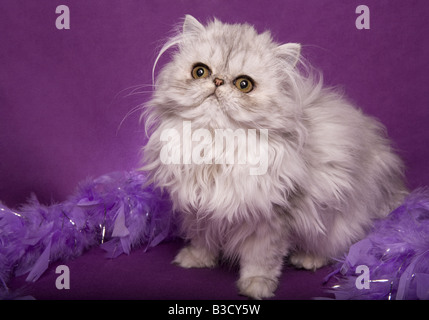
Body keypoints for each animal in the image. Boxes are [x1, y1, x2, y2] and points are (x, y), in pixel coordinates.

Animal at [141, 15, 408, 300]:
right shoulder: (199, 210)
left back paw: (308, 259)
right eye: (200, 72)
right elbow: (202, 240)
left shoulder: (272, 219)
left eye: (243, 84)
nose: (218, 81)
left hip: (338, 219)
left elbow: (262, 258)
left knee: (335, 246)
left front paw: (256, 286)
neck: (216, 144)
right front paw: (196, 260)